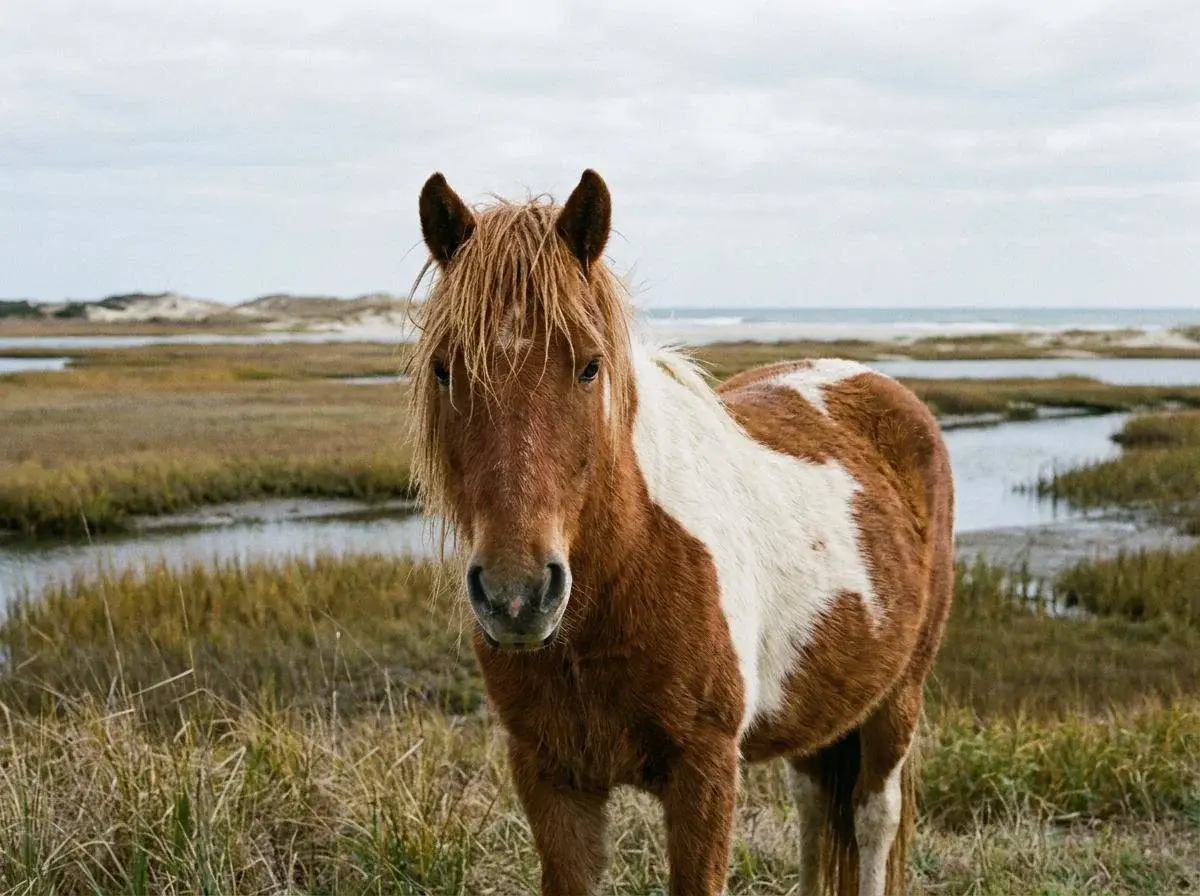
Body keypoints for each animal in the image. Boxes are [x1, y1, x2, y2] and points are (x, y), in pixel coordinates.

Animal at [409, 169, 955, 896]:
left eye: (589, 366)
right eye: (445, 368)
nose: (516, 597)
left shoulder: (705, 772)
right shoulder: (551, 778)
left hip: (897, 699)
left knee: (873, 821)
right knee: (815, 810)